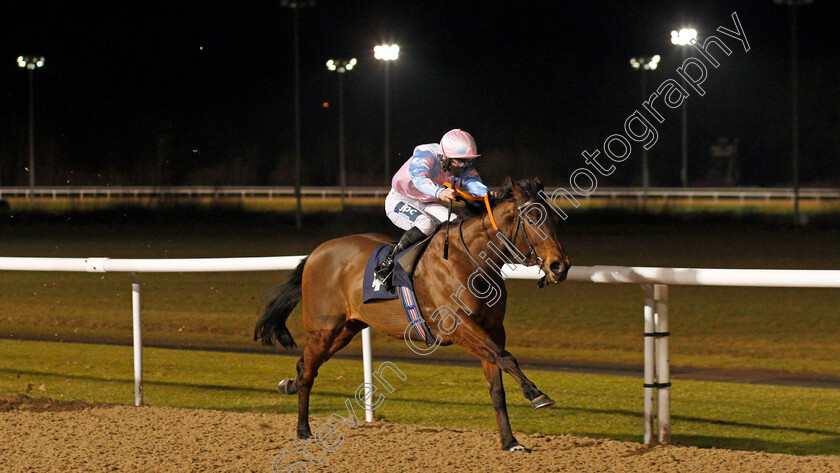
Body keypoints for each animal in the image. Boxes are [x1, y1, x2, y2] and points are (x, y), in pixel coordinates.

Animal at [256, 177, 572, 450]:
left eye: (555, 219)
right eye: (532, 218)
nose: (560, 266)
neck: (471, 261)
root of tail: (315, 253)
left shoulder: (493, 329)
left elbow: (497, 384)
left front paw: (510, 442)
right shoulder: (459, 325)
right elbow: (506, 357)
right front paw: (537, 395)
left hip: (346, 329)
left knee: (305, 366)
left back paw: (289, 386)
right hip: (323, 329)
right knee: (309, 370)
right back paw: (303, 429)